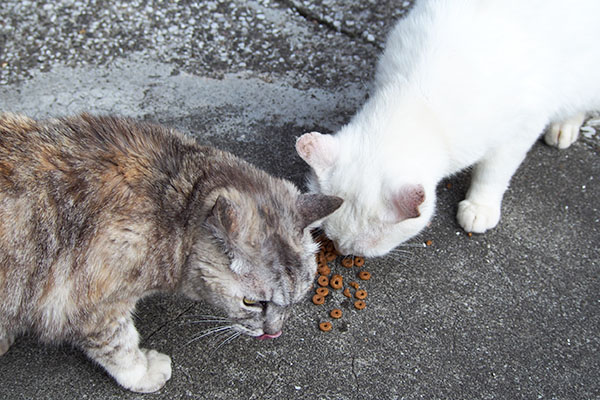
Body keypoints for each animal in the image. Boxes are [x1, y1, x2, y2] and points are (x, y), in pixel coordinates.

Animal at [0, 111, 342, 390]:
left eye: (296, 300)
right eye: (252, 302)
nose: (273, 334)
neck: (176, 201)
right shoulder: (88, 301)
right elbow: (118, 343)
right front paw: (142, 372)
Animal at [296, 0, 600, 256]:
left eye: (365, 245)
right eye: (329, 235)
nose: (341, 251)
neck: (418, 95)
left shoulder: (521, 128)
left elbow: (494, 172)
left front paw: (480, 205)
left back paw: (563, 127)